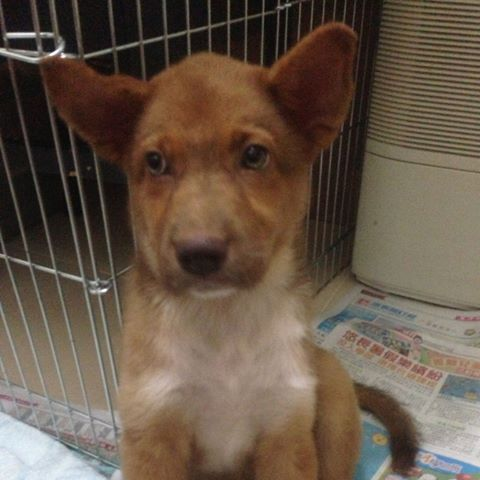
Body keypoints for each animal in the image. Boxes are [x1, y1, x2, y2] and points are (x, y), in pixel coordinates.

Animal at [41, 22, 418, 480]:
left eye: (254, 155)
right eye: (154, 162)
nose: (199, 254)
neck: (224, 318)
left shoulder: (285, 432)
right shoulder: (153, 431)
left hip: (329, 397)